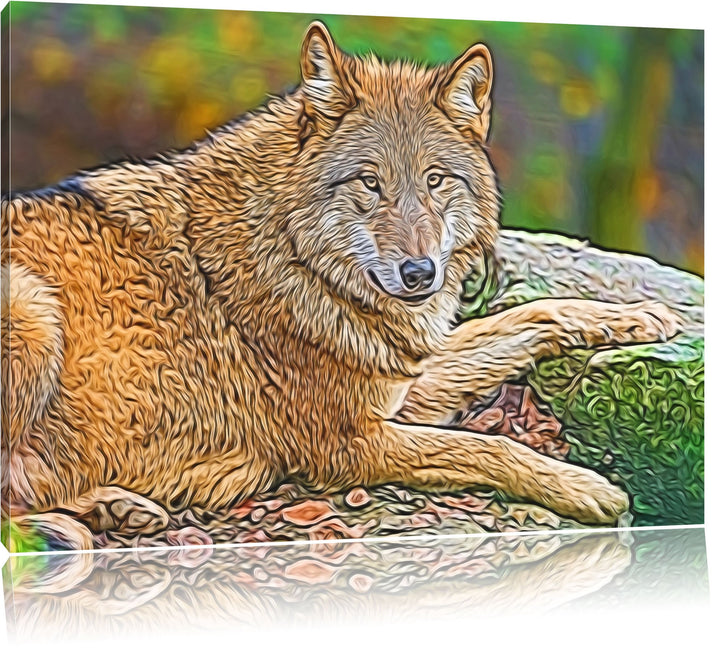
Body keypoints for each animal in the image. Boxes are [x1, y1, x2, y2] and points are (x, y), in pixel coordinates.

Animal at [1, 22, 680, 549]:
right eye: (370, 182)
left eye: (435, 180)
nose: (419, 273)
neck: (299, 263)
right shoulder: (349, 445)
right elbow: (484, 449)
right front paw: (586, 487)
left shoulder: (403, 382)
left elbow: (526, 316)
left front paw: (641, 316)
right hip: (32, 310)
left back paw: (116, 509)